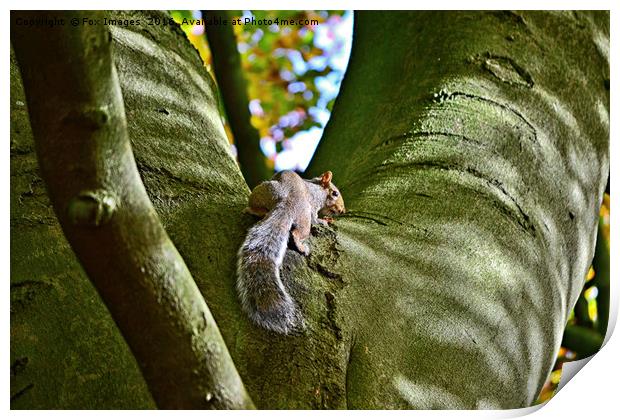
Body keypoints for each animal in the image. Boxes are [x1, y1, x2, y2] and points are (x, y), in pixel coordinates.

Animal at [236, 171, 344, 334]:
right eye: (335, 193)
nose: (343, 210)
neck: (316, 187)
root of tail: (288, 202)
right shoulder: (314, 205)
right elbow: (317, 219)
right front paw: (326, 220)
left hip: (263, 191)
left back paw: (256, 210)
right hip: (303, 218)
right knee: (299, 232)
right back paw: (301, 246)